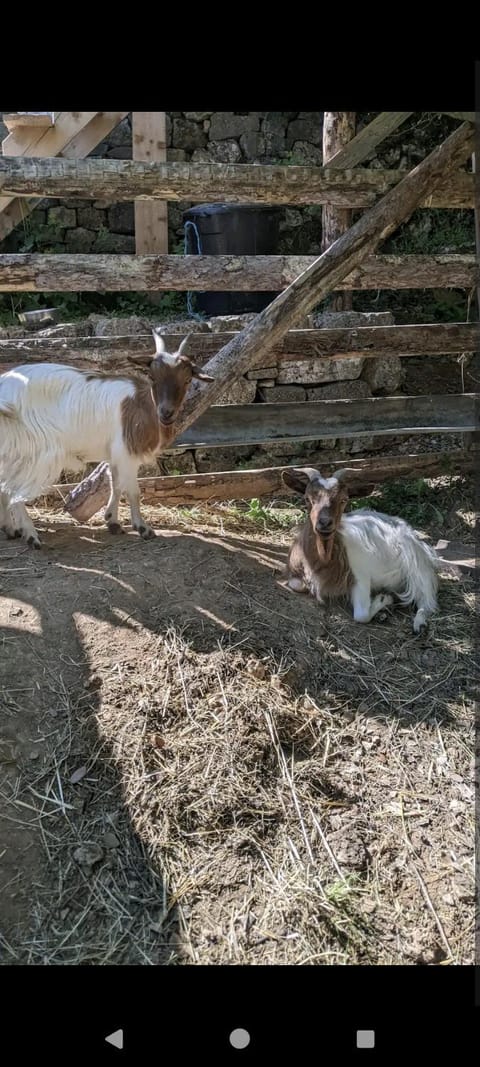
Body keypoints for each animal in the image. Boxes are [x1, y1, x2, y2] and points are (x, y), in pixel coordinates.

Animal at [0, 328, 213, 546]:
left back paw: (10, 528)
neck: (141, 406)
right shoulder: (127, 452)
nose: (166, 413)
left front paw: (113, 521)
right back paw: (30, 535)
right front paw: (143, 527)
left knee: (4, 487)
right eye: (152, 377)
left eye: (187, 380)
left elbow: (116, 484)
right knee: (14, 491)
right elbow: (133, 490)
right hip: (33, 451)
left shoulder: (116, 455)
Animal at [281, 463, 441, 627]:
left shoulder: (360, 576)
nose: (324, 523)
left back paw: (418, 623)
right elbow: (296, 584)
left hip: (418, 565)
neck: (323, 562)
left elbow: (361, 615)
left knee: (426, 599)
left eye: (344, 500)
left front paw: (383, 599)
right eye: (307, 498)